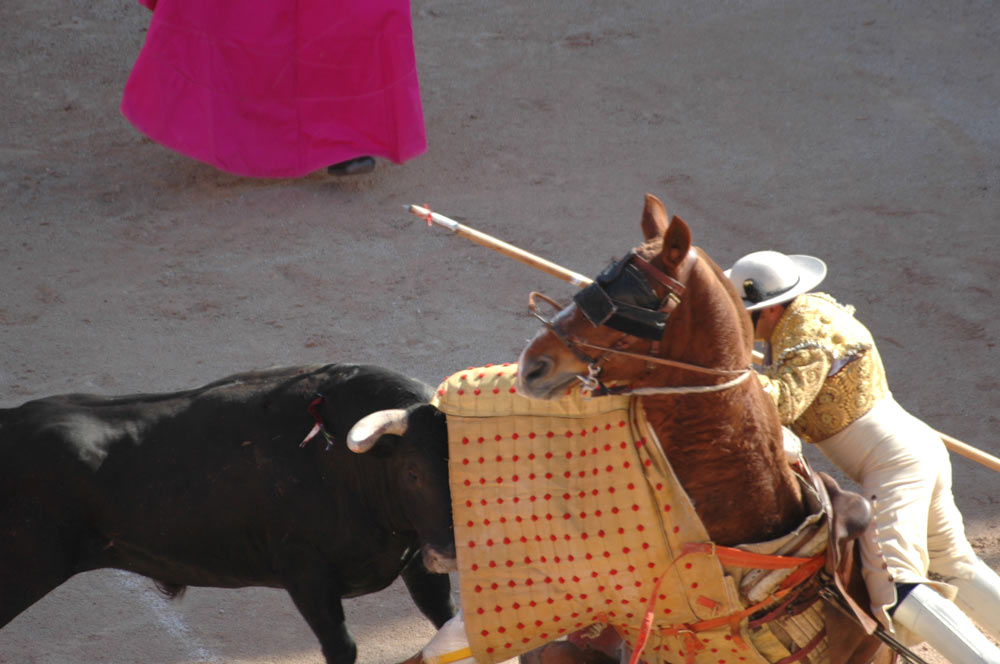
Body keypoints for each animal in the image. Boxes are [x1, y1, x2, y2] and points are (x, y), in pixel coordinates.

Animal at [0, 364, 458, 664]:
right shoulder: (307, 576)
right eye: (413, 473)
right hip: (22, 574)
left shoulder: (416, 560)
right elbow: (342, 647)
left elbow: (447, 619)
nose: (451, 552)